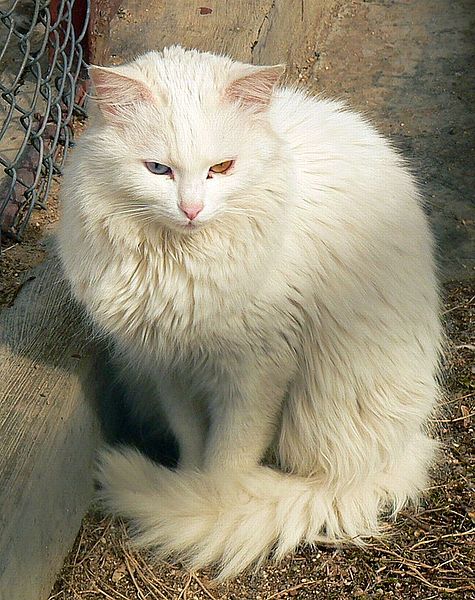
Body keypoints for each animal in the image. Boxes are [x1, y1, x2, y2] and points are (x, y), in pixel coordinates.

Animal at [58, 44, 442, 580]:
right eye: (158, 170)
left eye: (221, 168)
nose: (191, 210)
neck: (182, 264)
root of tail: (409, 446)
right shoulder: (170, 368)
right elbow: (193, 443)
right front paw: (186, 486)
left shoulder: (255, 374)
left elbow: (227, 463)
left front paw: (204, 506)